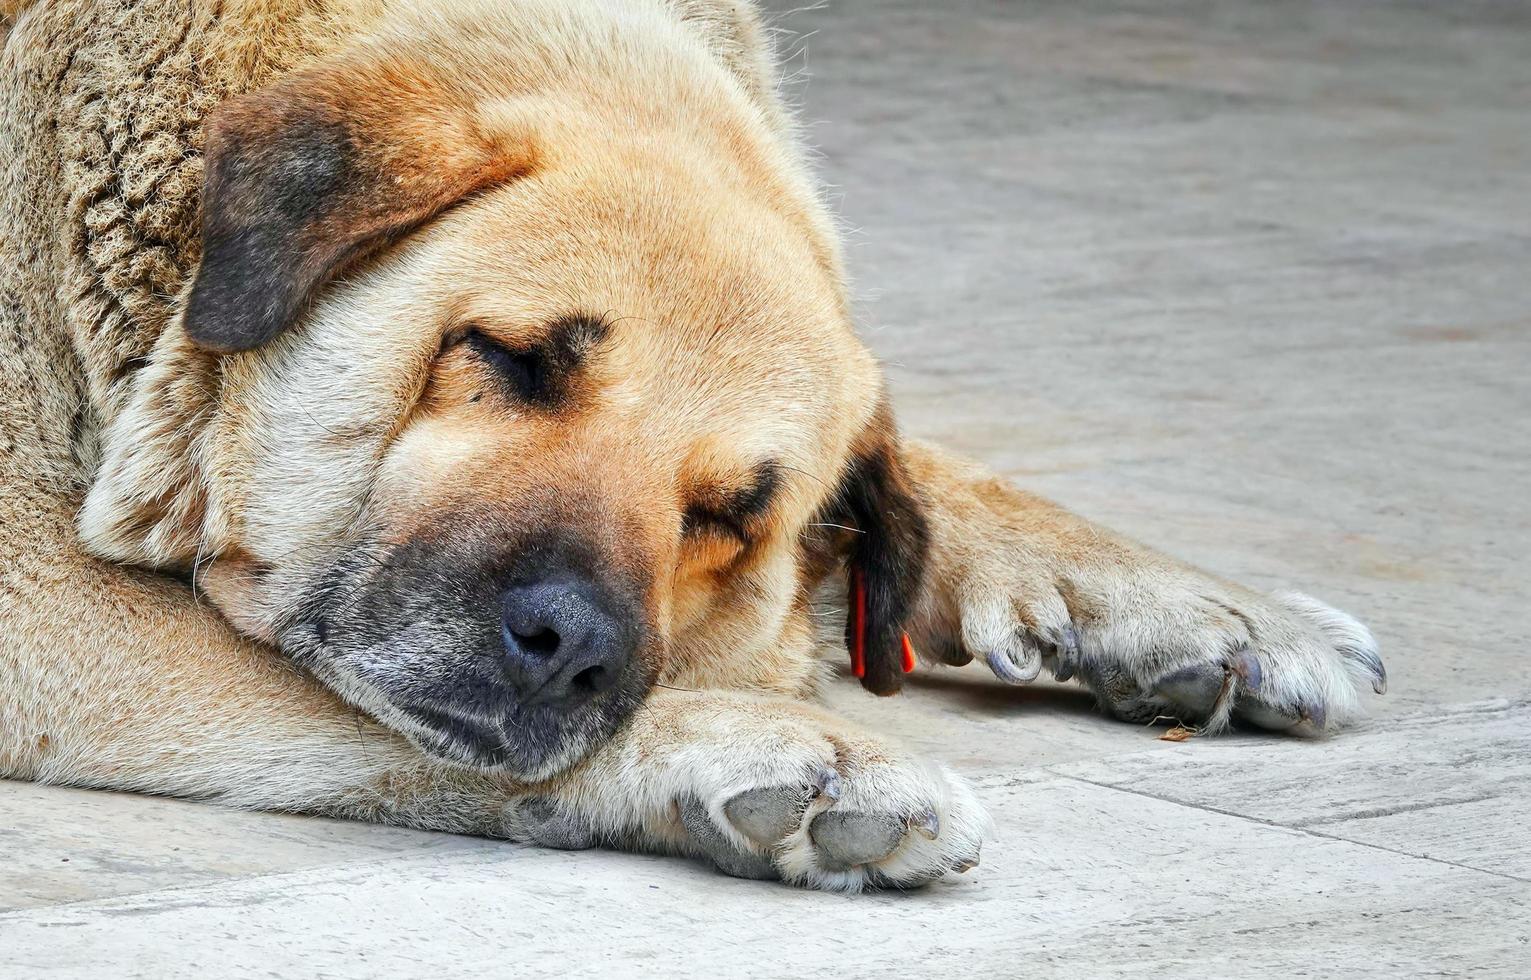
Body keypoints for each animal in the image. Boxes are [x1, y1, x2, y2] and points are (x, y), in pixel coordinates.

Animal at [2, 0, 1390, 888]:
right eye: (512, 357)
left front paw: (1207, 606)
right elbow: (328, 698)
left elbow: (928, 478)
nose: (571, 647)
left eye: (730, 510)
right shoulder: (34, 592)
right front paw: (771, 754)